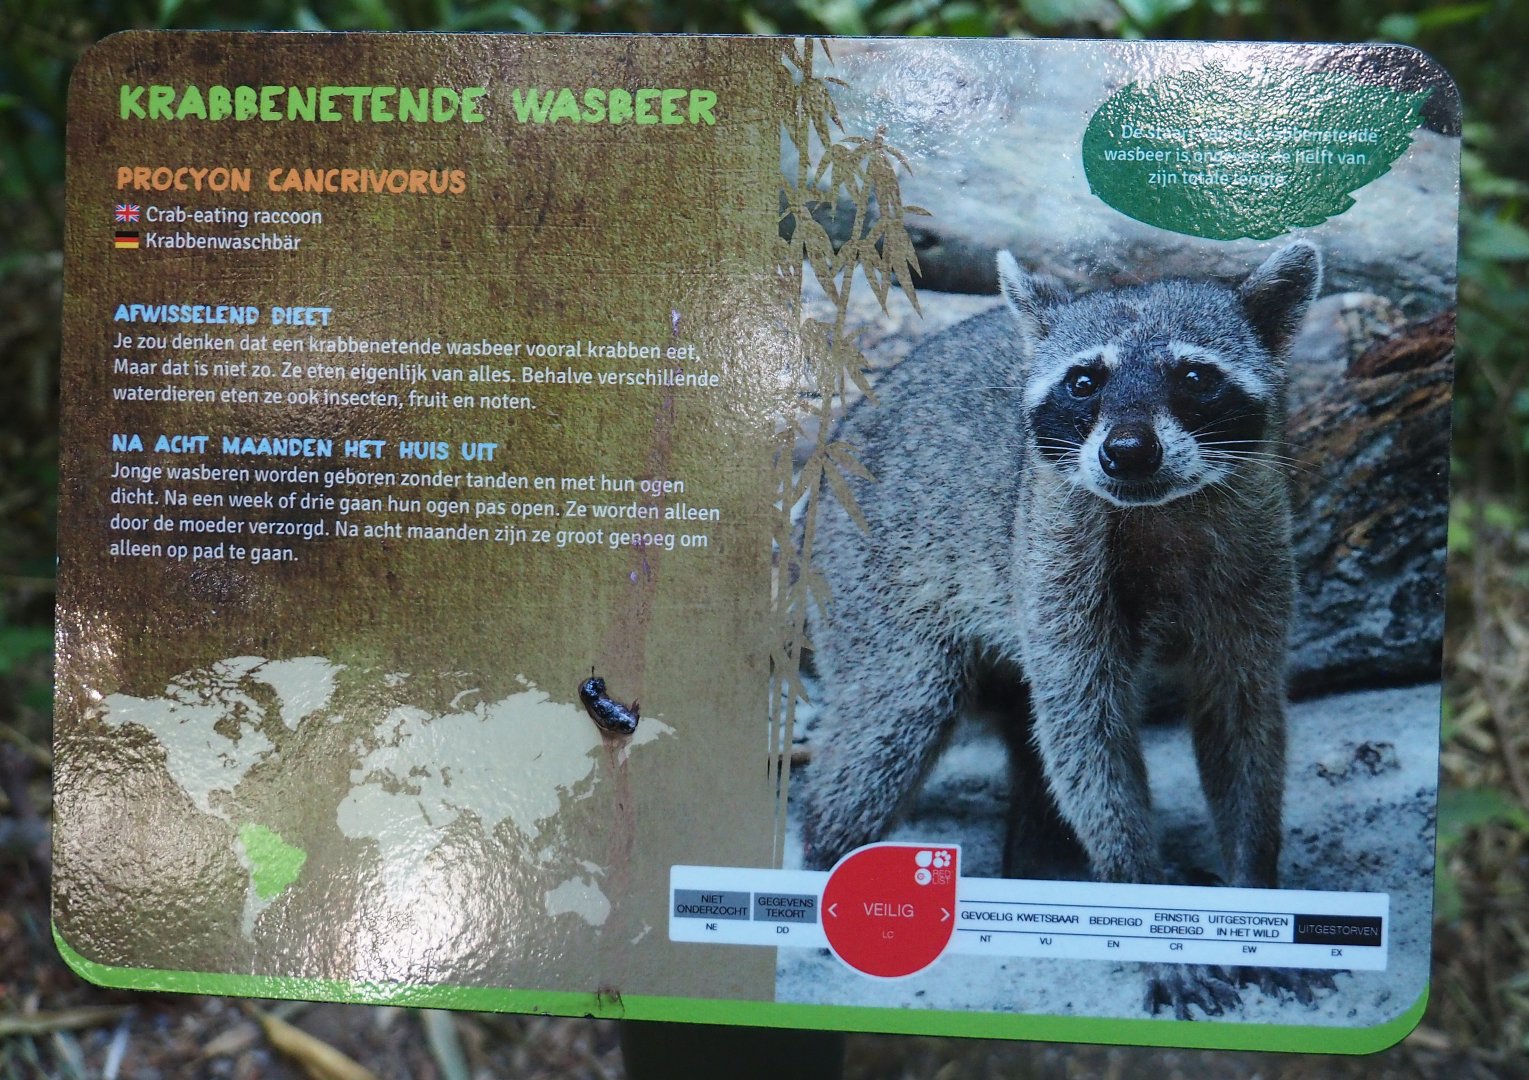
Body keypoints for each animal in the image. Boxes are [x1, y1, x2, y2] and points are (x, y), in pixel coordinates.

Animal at [800, 242, 1324, 1018]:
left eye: (1194, 377)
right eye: (1083, 382)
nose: (1127, 450)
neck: (1157, 511)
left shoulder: (1253, 549)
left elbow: (1243, 720)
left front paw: (1254, 887)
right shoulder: (1055, 548)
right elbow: (1085, 732)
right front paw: (1141, 900)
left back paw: (1039, 860)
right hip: (866, 575)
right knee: (890, 724)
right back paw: (820, 862)